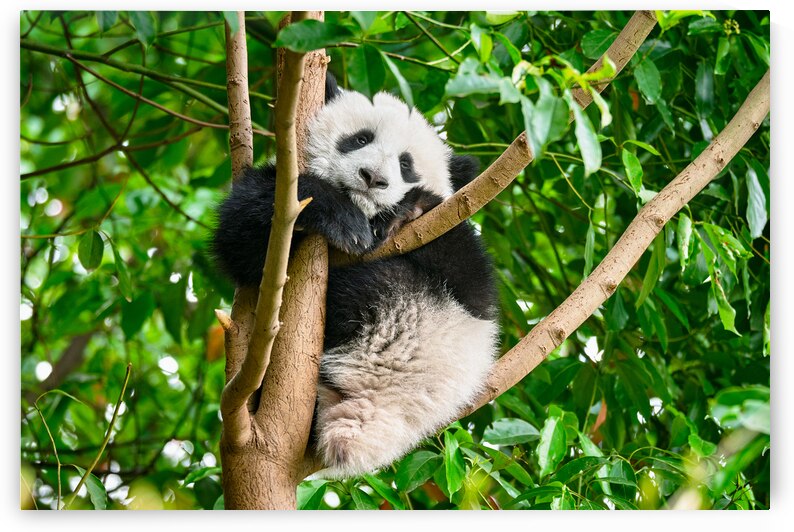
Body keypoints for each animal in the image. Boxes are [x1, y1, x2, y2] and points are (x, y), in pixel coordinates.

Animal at [212, 74, 499, 478]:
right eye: (361, 139)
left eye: (406, 165)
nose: (373, 178)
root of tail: (363, 419)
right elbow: (241, 239)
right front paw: (339, 216)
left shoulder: (460, 241)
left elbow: (472, 287)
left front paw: (407, 211)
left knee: (377, 285)